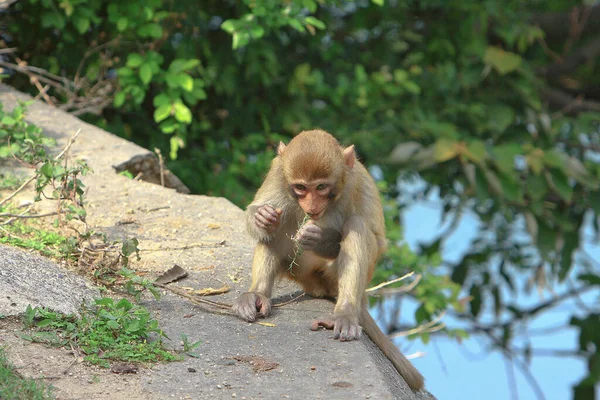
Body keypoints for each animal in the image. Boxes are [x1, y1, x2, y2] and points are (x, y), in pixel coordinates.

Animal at [232, 129, 424, 390]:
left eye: (321, 186)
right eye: (301, 187)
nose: (311, 206)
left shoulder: (356, 181)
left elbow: (377, 240)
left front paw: (320, 238)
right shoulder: (277, 173)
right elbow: (260, 214)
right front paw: (261, 216)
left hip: (333, 278)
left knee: (356, 225)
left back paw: (344, 313)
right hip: (300, 273)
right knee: (277, 228)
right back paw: (257, 295)